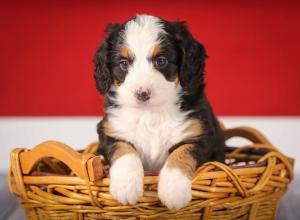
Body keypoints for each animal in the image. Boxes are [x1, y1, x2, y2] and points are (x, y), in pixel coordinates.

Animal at [94, 14, 225, 211]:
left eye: (161, 61)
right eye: (123, 63)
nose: (142, 93)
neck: (151, 114)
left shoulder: (200, 134)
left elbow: (181, 153)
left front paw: (173, 191)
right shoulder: (111, 131)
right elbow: (124, 151)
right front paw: (126, 186)